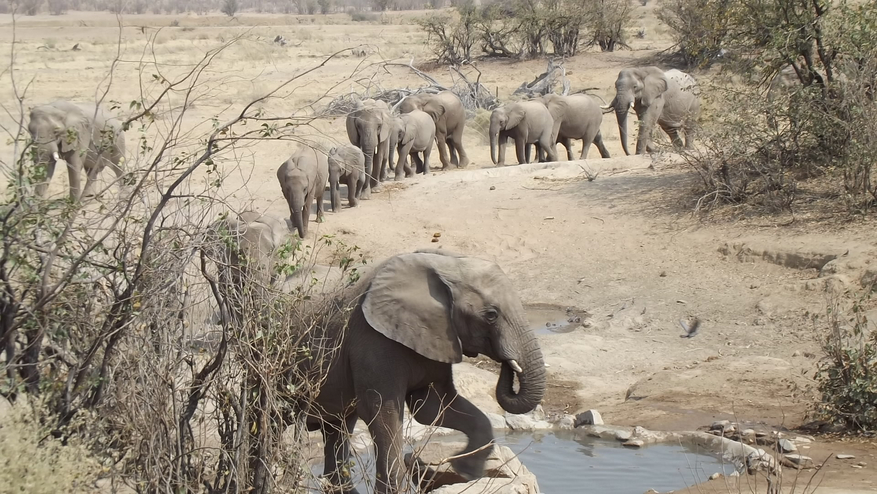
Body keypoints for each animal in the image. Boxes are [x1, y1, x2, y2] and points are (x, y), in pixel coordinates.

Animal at [302, 251, 548, 494]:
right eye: (491, 315)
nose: (508, 363)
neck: (445, 263)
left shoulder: (438, 337)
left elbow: (433, 407)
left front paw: (466, 470)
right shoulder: (373, 340)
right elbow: (381, 412)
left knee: (337, 429)